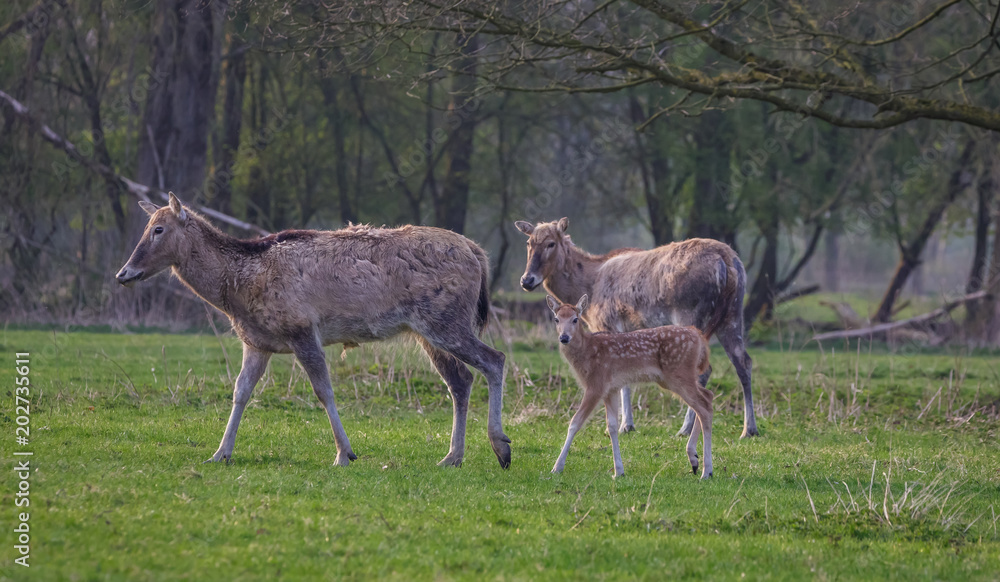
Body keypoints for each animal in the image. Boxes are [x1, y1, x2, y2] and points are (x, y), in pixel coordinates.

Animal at [116, 194, 512, 469]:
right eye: (147, 227)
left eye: (158, 229)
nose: (123, 273)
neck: (237, 293)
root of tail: (478, 253)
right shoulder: (256, 341)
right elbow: (240, 391)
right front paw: (220, 453)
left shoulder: (302, 329)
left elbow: (324, 391)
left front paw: (344, 454)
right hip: (428, 330)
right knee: (460, 380)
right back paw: (452, 456)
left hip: (445, 321)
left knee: (495, 359)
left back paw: (501, 447)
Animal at [516, 218, 756, 439]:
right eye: (529, 242)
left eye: (551, 243)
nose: (527, 280)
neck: (589, 288)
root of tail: (727, 261)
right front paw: (626, 424)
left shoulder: (608, 323)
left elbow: (622, 379)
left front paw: (625, 425)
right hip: (734, 314)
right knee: (743, 362)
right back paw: (749, 429)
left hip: (691, 315)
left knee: (704, 370)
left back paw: (685, 428)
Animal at [547, 295, 714, 478]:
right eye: (556, 319)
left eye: (575, 319)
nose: (564, 338)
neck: (588, 352)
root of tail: (698, 336)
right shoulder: (611, 388)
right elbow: (612, 426)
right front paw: (618, 471)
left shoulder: (596, 384)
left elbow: (575, 422)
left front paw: (557, 467)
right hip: (675, 378)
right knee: (708, 396)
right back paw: (694, 460)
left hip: (679, 374)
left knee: (704, 406)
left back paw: (706, 471)